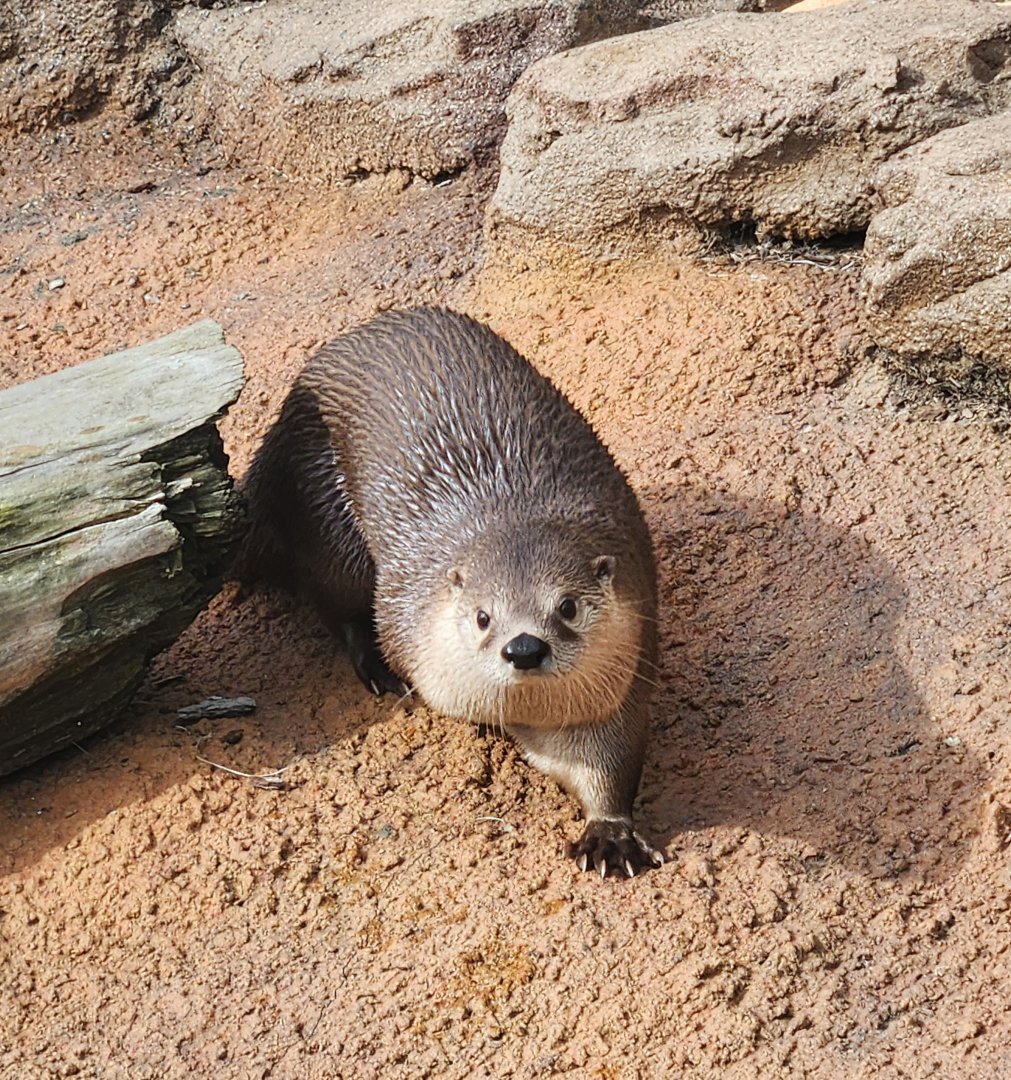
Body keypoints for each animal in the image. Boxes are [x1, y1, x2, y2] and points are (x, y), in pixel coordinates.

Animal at [236, 307, 663, 878]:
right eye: (483, 616)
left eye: (567, 607)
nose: (523, 647)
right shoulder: (406, 606)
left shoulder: (627, 667)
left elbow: (608, 761)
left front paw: (610, 834)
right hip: (327, 519)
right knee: (335, 602)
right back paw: (378, 671)